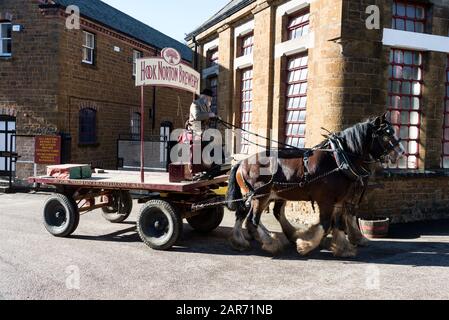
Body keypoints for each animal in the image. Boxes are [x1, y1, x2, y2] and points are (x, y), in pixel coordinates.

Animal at [226, 115, 404, 258]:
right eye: (386, 134)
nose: (401, 152)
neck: (338, 159)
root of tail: (242, 162)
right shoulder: (326, 200)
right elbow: (325, 224)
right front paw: (305, 245)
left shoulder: (339, 200)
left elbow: (338, 224)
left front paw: (343, 248)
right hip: (260, 196)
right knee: (252, 220)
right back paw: (270, 242)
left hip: (258, 196)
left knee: (245, 214)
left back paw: (241, 241)